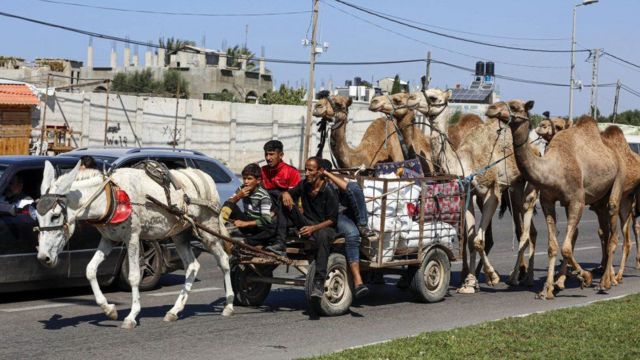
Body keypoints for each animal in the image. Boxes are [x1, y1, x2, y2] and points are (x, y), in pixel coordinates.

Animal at [35, 161, 235, 330]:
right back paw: (174, 311)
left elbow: (133, 276)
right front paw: (109, 309)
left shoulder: (132, 237)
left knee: (224, 260)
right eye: (37, 216)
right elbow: (90, 270)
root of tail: (204, 175)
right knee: (192, 266)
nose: (43, 257)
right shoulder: (109, 239)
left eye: (55, 216)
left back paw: (229, 304)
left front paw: (131, 316)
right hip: (179, 234)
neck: (111, 196)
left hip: (208, 228)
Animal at [404, 88, 540, 292]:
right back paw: (525, 276)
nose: (410, 98)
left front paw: (492, 276)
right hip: (513, 189)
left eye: (434, 97)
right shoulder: (469, 194)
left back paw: (519, 278)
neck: (465, 162)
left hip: (527, 185)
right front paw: (469, 282)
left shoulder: (491, 192)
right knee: (528, 231)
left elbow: (478, 240)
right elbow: (469, 239)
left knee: (525, 228)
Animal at [500, 114, 624, 300]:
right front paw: (549, 288)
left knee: (613, 227)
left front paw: (582, 277)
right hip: (599, 200)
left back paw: (606, 282)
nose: (541, 125)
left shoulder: (576, 201)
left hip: (617, 181)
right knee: (605, 231)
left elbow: (566, 246)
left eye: (558, 125)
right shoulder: (550, 200)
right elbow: (555, 244)